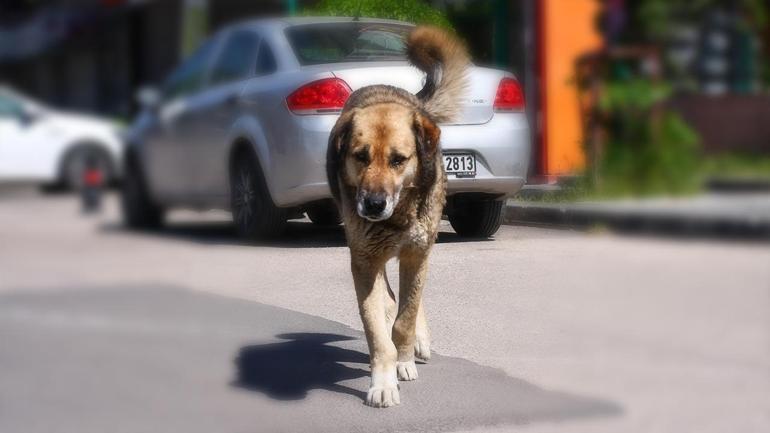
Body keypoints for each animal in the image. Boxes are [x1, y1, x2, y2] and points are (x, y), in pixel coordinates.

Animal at [324, 26, 468, 404]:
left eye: (398, 160)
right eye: (360, 156)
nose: (373, 204)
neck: (397, 216)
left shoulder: (416, 255)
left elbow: (406, 318)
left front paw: (404, 359)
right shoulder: (363, 260)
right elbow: (377, 330)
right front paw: (383, 381)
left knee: (409, 302)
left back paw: (417, 340)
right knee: (389, 298)